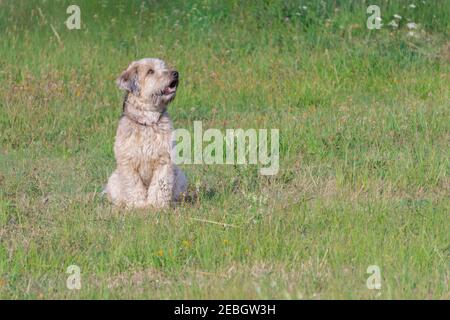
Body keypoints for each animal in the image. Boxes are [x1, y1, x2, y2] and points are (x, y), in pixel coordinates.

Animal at [105, 57, 186, 209]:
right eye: (150, 71)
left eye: (164, 67)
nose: (176, 73)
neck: (148, 122)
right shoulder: (128, 163)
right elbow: (134, 186)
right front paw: (138, 206)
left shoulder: (164, 161)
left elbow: (159, 185)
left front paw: (156, 205)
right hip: (113, 179)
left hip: (181, 176)